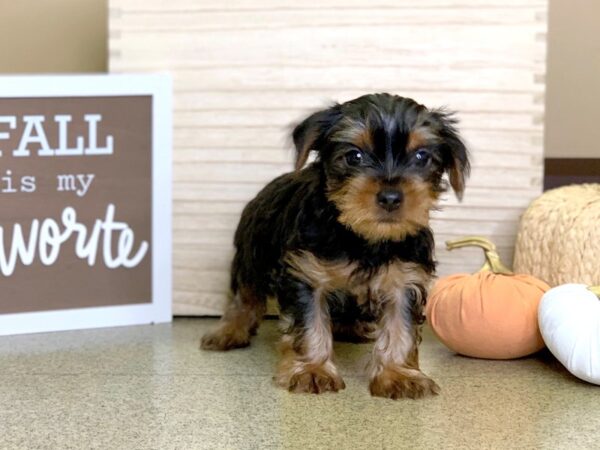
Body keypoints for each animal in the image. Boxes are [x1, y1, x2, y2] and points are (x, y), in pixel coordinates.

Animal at [202, 93, 468, 400]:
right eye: (354, 156)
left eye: (422, 156)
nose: (390, 197)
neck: (363, 238)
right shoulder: (307, 275)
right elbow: (310, 324)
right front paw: (312, 370)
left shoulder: (405, 279)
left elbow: (400, 327)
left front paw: (399, 375)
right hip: (250, 254)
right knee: (244, 294)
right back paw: (228, 331)